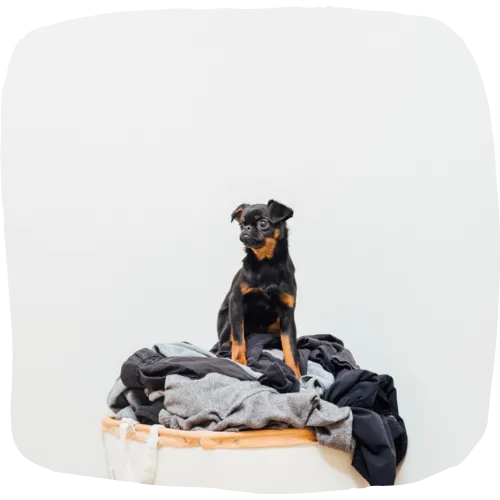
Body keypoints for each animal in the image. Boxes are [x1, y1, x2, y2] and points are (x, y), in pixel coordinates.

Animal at [216, 199, 301, 379]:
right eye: (242, 225)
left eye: (263, 223)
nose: (246, 229)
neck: (266, 263)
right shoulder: (236, 302)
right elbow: (239, 338)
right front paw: (239, 362)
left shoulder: (287, 313)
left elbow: (290, 347)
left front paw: (295, 373)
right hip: (228, 319)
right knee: (226, 341)